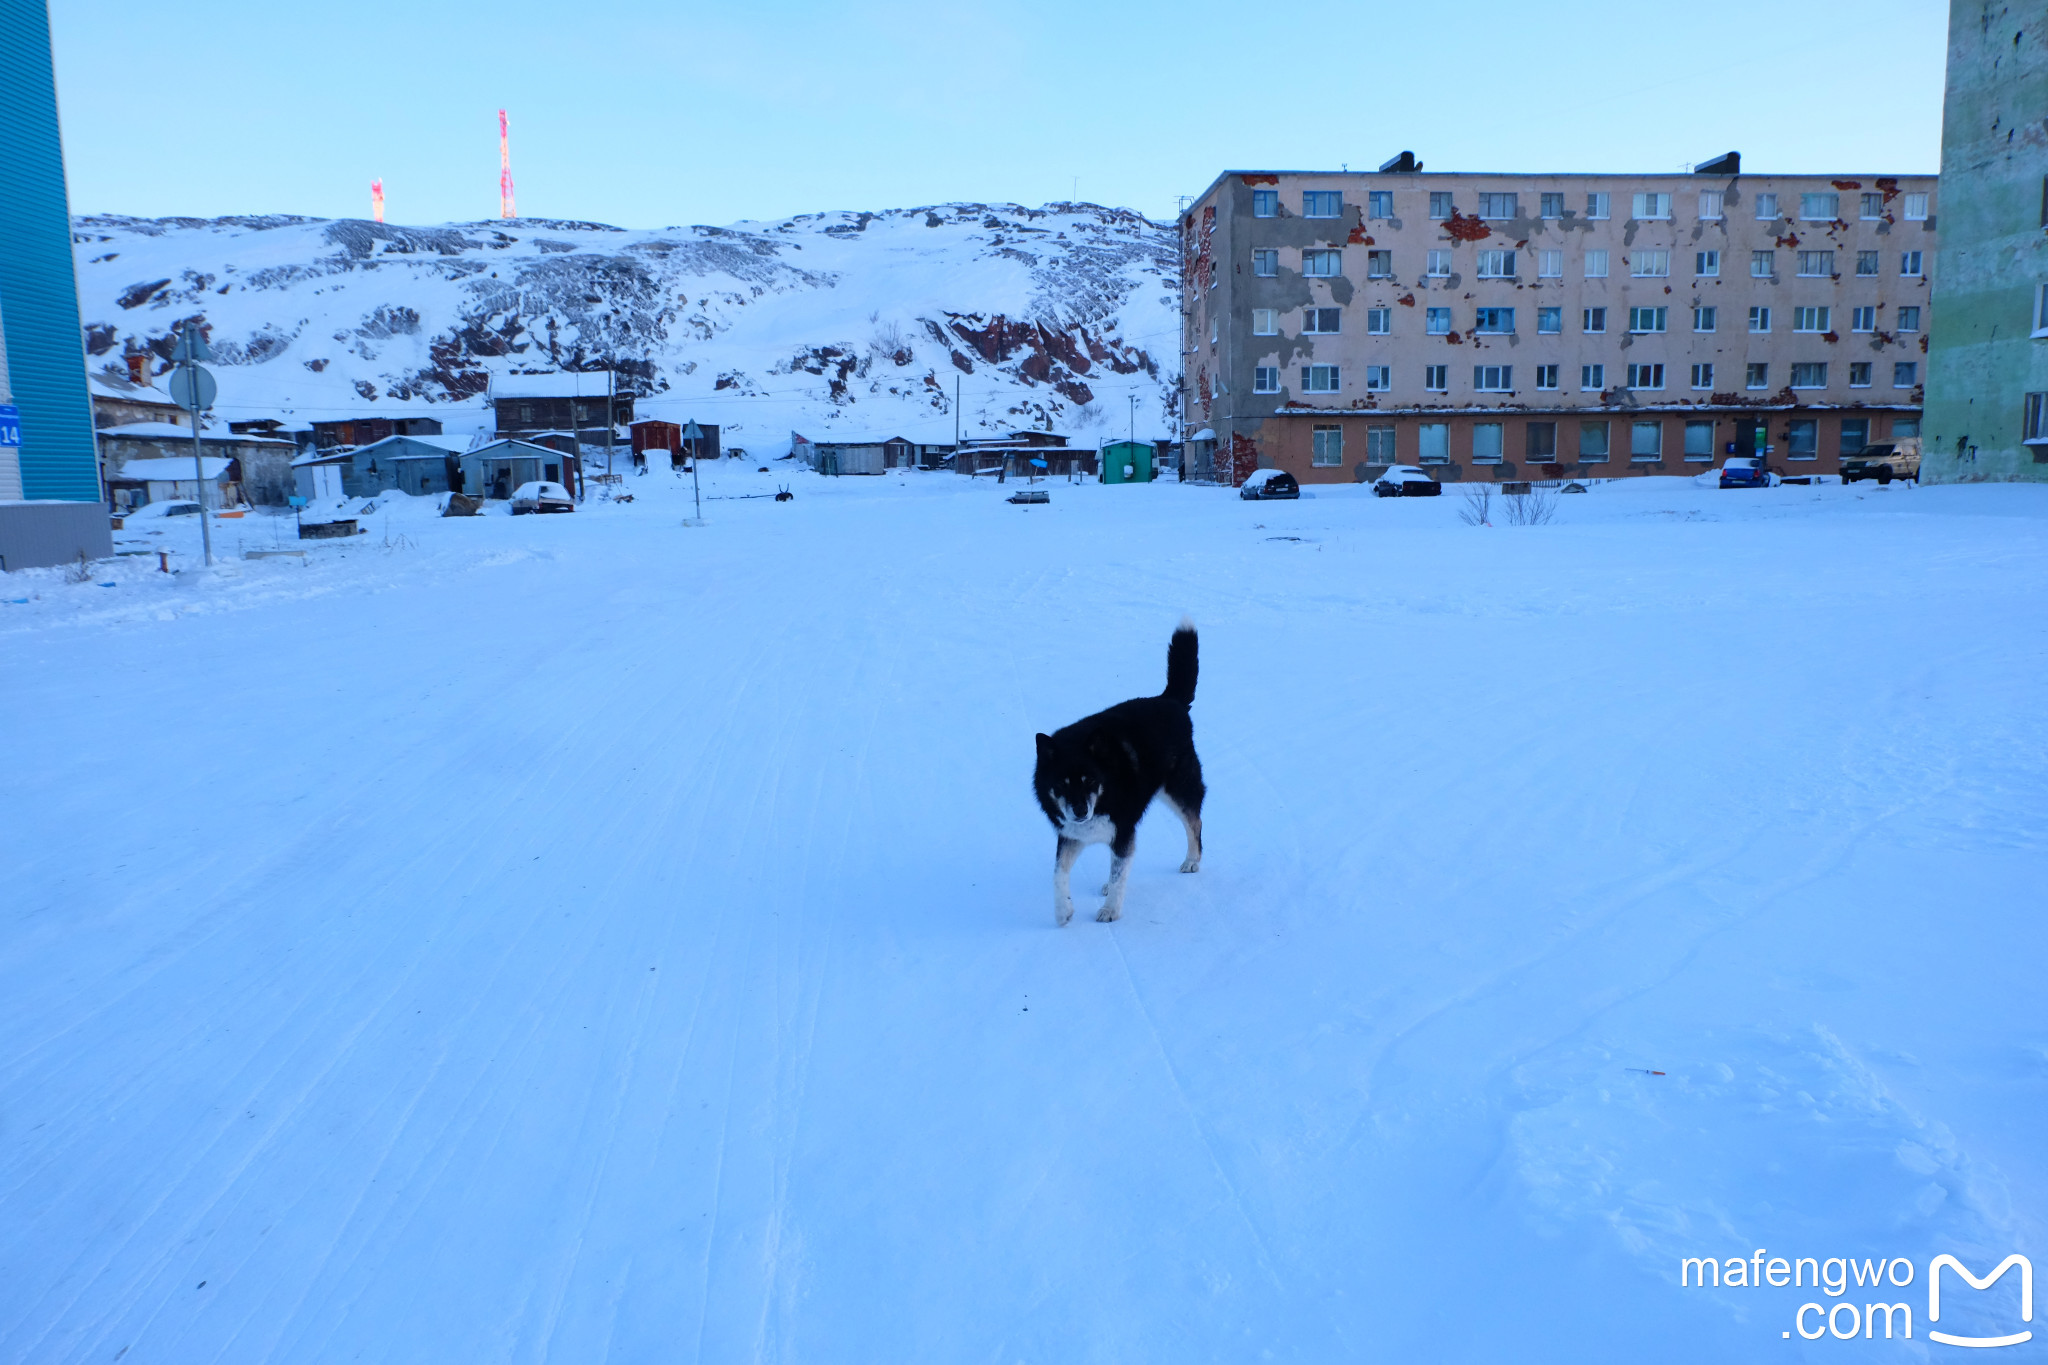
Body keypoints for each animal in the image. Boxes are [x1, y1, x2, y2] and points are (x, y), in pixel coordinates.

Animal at [1040, 622, 1196, 929]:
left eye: (1090, 780)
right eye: (1062, 784)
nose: (1080, 811)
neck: (1104, 793)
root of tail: (1170, 700)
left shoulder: (1123, 830)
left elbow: (1118, 873)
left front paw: (1110, 910)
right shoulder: (1071, 833)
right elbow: (1058, 873)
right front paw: (1063, 911)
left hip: (1179, 787)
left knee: (1194, 822)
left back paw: (1193, 861)